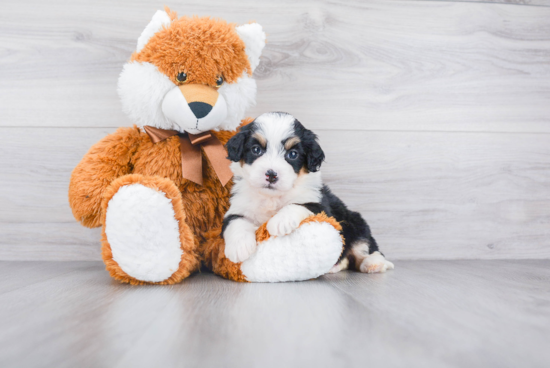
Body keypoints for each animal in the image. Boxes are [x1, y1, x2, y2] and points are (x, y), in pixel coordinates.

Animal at [222, 111, 394, 274]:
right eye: (256, 150)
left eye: (292, 154)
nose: (271, 175)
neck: (272, 197)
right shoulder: (238, 206)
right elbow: (235, 222)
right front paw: (239, 247)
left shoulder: (321, 207)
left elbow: (298, 205)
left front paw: (280, 221)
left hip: (356, 223)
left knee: (365, 248)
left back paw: (374, 263)